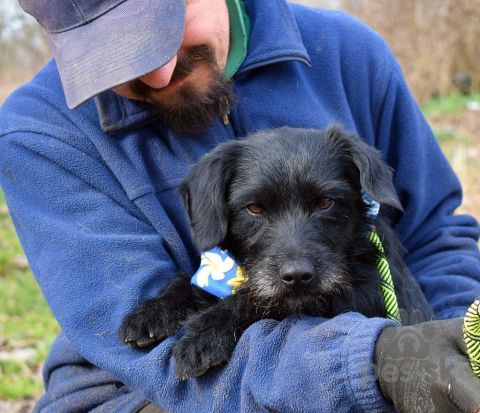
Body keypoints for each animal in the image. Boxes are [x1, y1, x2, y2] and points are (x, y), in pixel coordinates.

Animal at [118, 126, 434, 380]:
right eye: (255, 208)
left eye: (326, 202)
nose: (298, 277)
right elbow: (195, 283)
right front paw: (153, 311)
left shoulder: (357, 299)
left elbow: (257, 300)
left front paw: (205, 331)